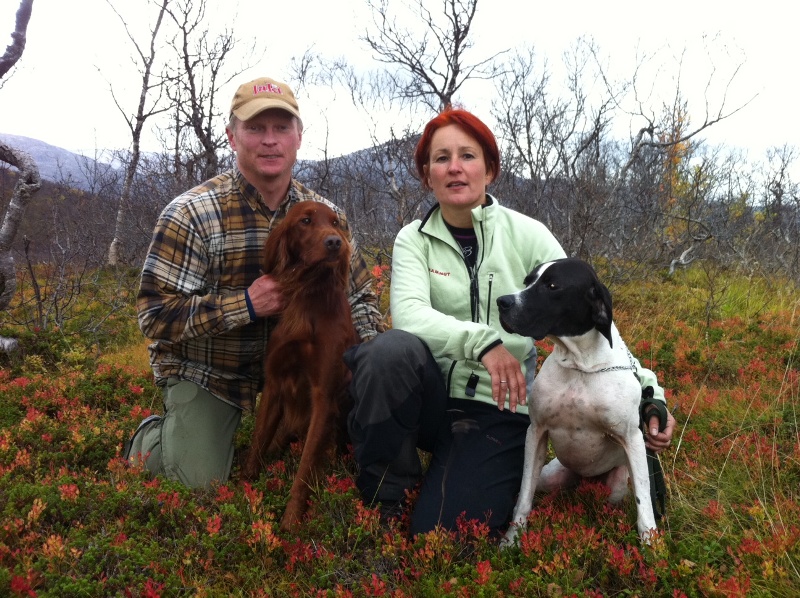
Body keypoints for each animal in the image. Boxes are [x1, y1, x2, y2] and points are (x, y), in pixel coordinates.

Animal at [242, 204, 358, 532]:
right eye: (305, 220)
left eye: (335, 222)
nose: (335, 242)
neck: (309, 299)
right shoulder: (274, 385)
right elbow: (257, 442)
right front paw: (244, 485)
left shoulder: (324, 397)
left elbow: (305, 468)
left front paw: (291, 520)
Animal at [500, 258, 656, 548]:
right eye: (527, 281)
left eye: (552, 285)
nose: (502, 301)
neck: (579, 365)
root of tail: (584, 480)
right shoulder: (536, 432)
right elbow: (524, 496)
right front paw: (512, 539)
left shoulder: (632, 439)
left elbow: (645, 506)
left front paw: (652, 546)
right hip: (550, 476)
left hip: (617, 484)